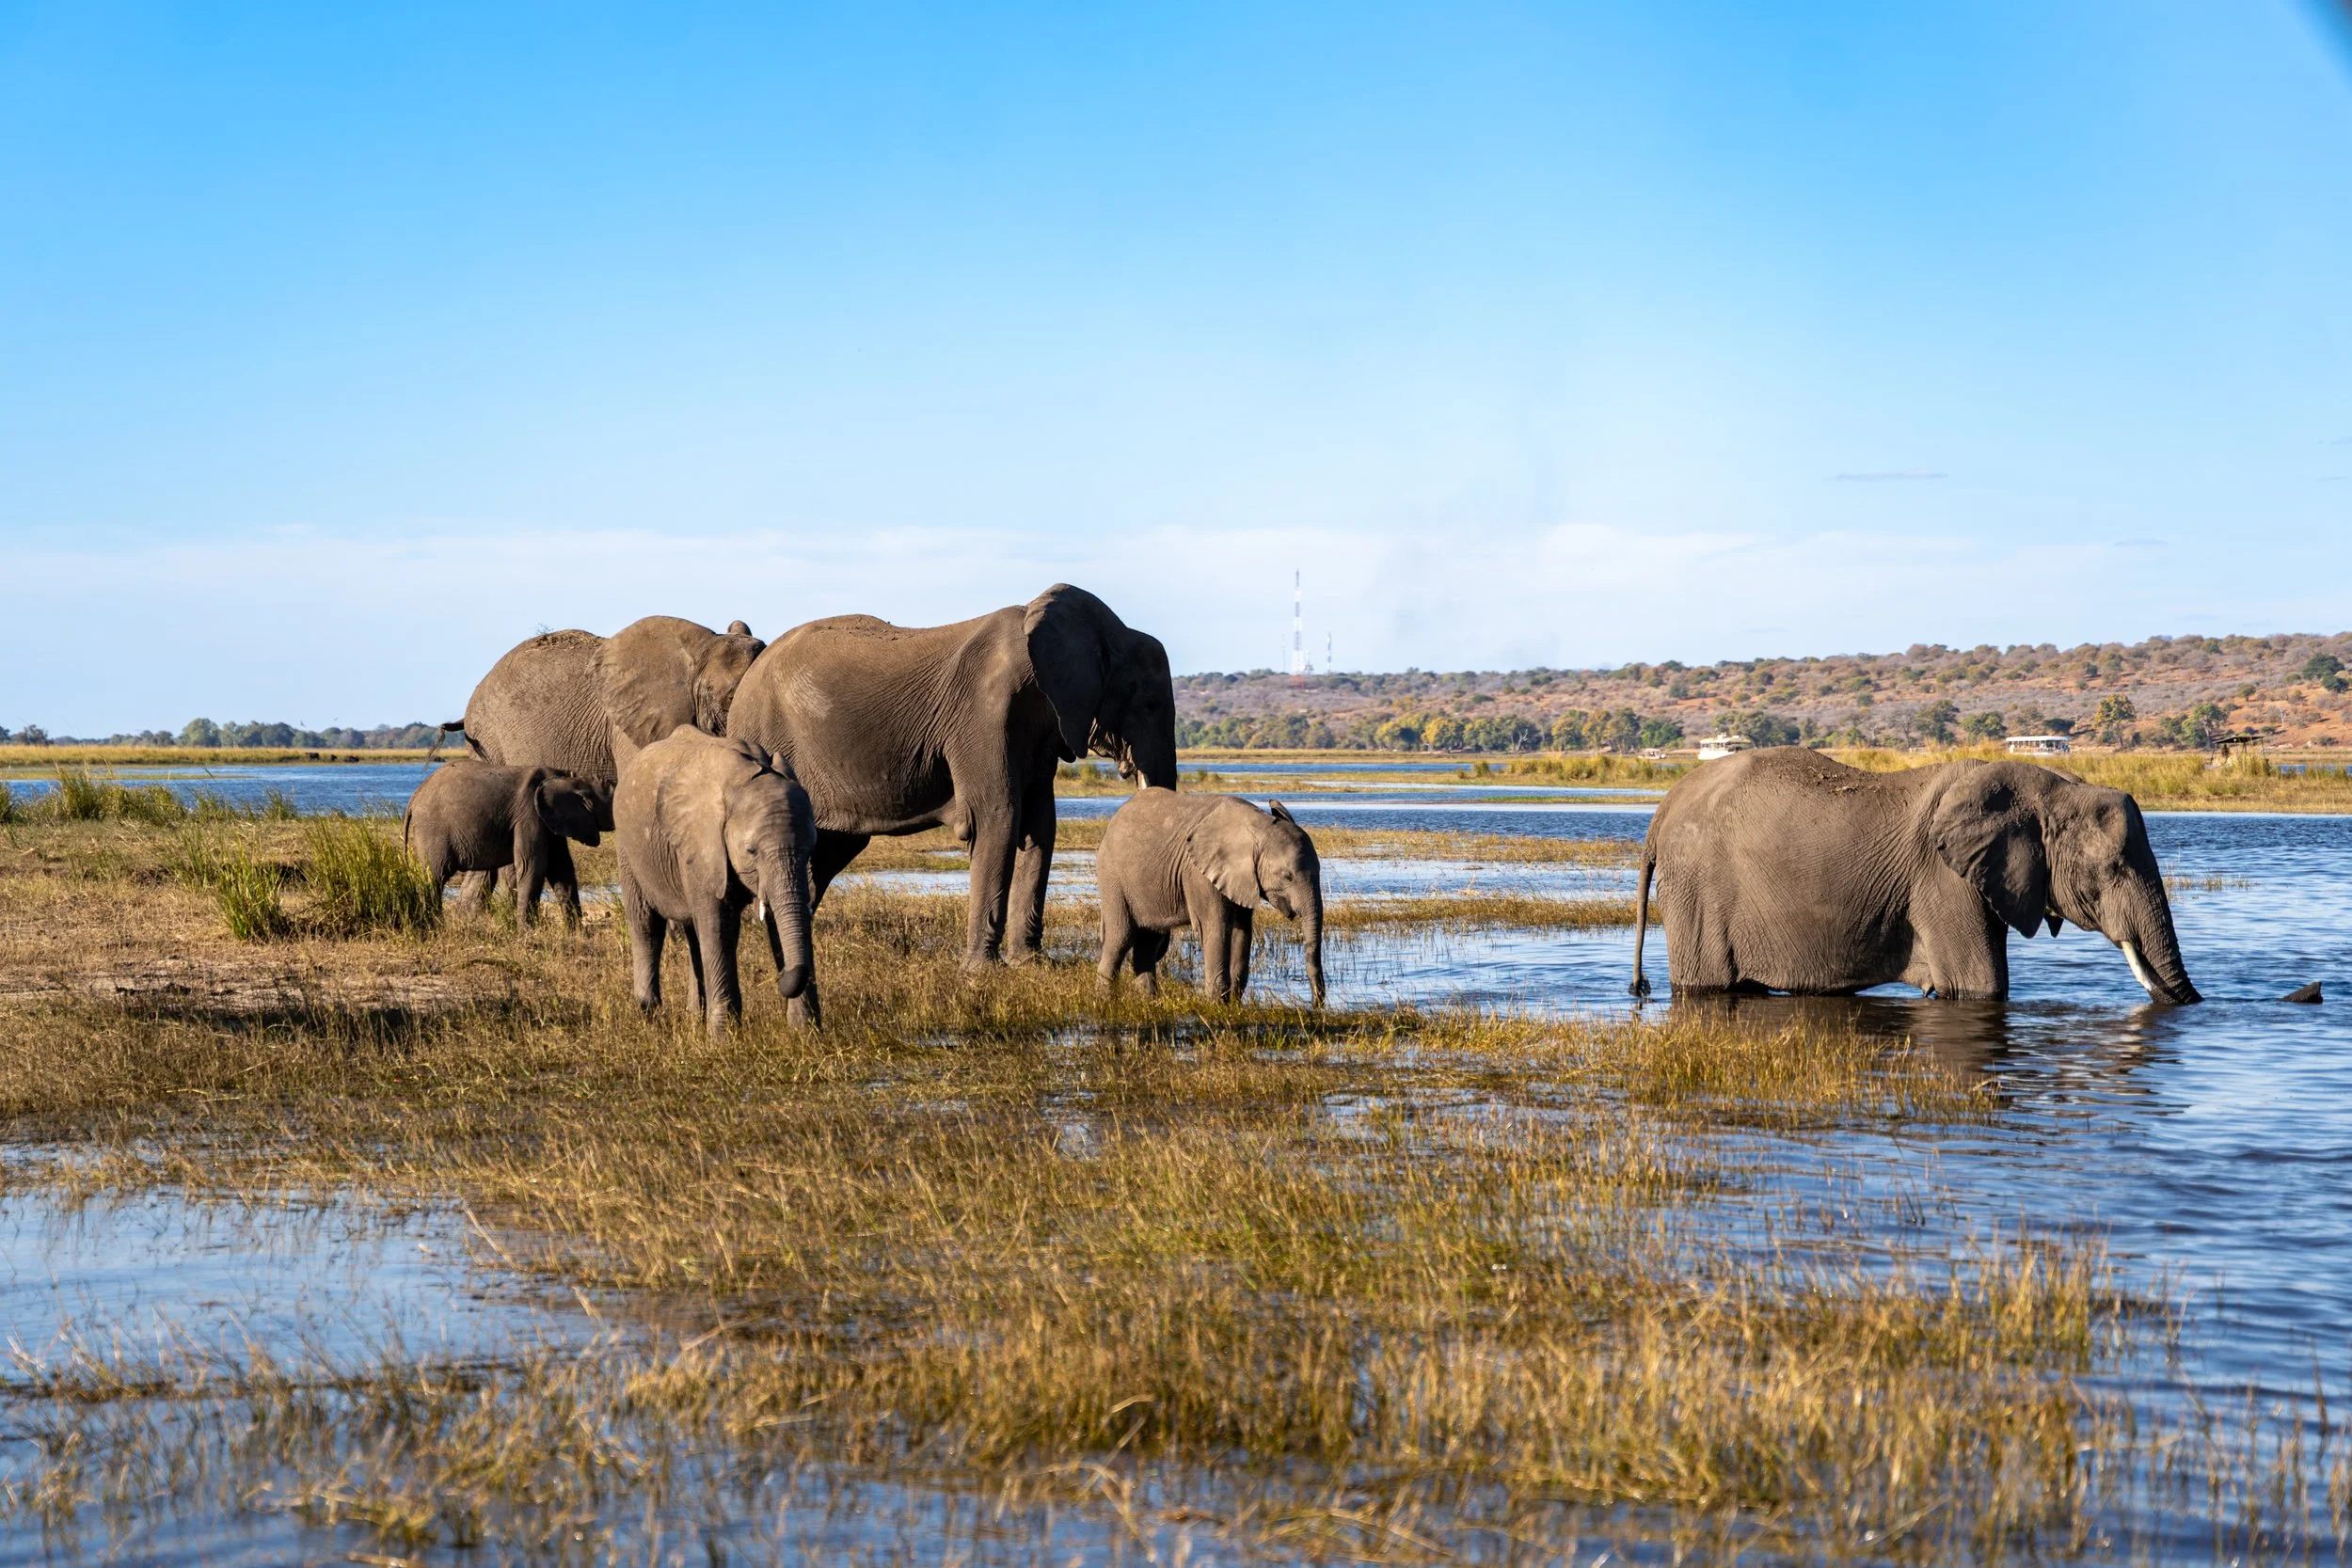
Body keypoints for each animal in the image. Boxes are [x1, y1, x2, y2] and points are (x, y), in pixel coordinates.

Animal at [403, 760, 609, 924]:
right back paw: (434, 924)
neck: (568, 776)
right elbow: (532, 866)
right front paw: (527, 931)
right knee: (435, 876)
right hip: (432, 829)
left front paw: (577, 933)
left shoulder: (550, 819)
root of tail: (414, 796)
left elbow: (561, 867)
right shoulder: (529, 814)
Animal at [615, 726, 820, 1035]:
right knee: (646, 923)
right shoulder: (701, 843)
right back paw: (648, 1012)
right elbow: (718, 926)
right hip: (629, 848)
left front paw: (806, 1033)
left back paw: (694, 1015)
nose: (781, 979)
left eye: (811, 849)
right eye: (751, 851)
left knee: (692, 933)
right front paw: (724, 1037)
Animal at [726, 584, 1178, 970]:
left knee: (832, 848)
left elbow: (1040, 826)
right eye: (1150, 703)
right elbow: (998, 818)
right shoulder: (983, 715)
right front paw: (982, 973)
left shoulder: (1042, 727)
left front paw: (1031, 965)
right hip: (764, 736)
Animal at [1095, 790, 1326, 1007]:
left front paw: (1234, 1003)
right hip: (1112, 878)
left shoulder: (1241, 877)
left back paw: (1150, 1000)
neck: (1258, 826)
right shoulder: (1200, 875)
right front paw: (1217, 1004)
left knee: (1150, 940)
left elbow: (1242, 930)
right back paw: (1106, 1001)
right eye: (1287, 877)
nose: (1316, 1005)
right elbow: (1216, 927)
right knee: (1121, 937)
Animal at [1629, 749, 2199, 1004]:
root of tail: (1663, 810)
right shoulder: (1943, 879)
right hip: (1698, 888)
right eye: (2113, 868)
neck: (2046, 786)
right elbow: (1980, 986)